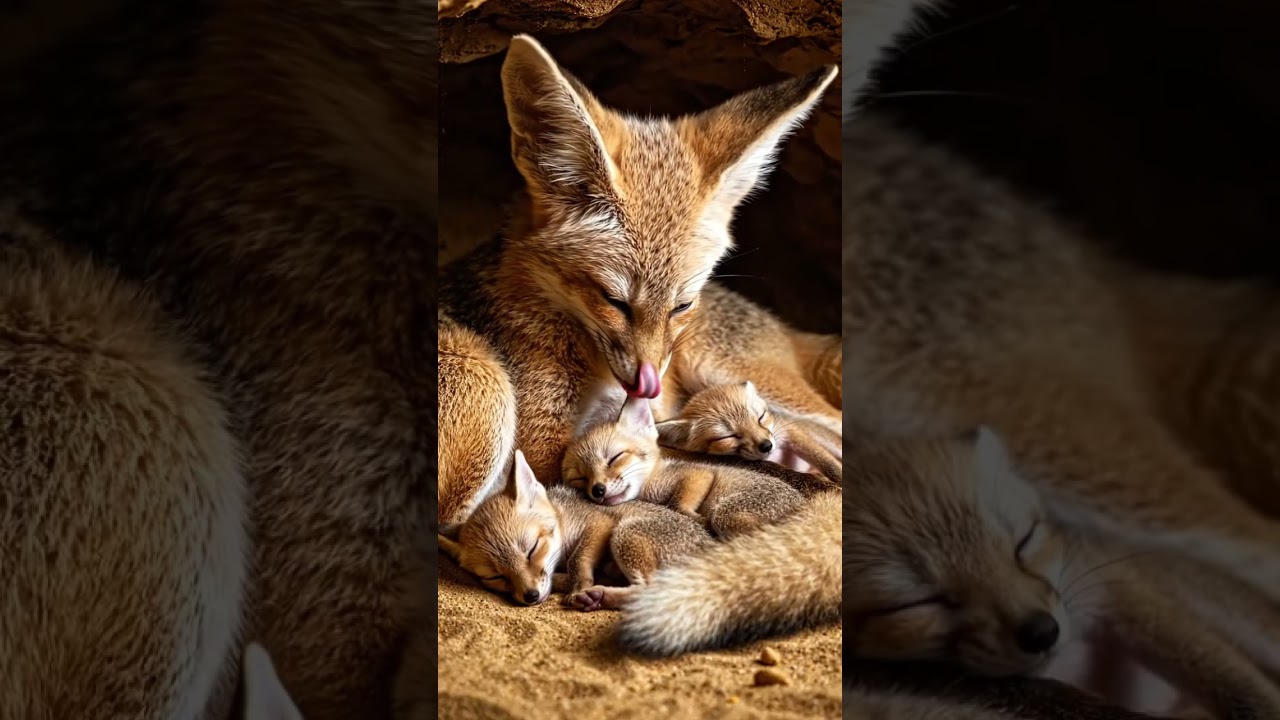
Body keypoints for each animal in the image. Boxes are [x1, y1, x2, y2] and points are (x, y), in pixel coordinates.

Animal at [439, 449, 712, 611]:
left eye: (532, 550)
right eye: (496, 577)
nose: (531, 596)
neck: (562, 516)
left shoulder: (599, 524)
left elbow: (577, 560)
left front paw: (578, 585)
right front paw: (569, 583)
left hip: (624, 534)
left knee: (648, 591)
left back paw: (600, 594)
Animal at [563, 392, 807, 539]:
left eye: (615, 457)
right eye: (581, 478)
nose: (598, 490)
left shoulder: (696, 474)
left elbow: (679, 503)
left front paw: (698, 520)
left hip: (726, 515)